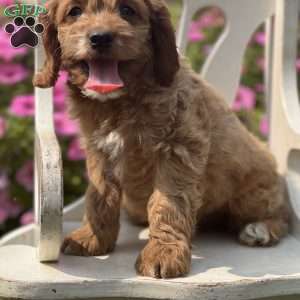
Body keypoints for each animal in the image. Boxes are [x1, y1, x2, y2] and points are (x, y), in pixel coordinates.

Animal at [33, 0, 288, 278]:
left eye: (127, 10)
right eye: (75, 12)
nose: (100, 38)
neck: (119, 101)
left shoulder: (179, 148)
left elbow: (167, 202)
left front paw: (162, 254)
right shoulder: (99, 149)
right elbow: (99, 195)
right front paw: (91, 237)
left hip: (253, 193)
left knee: (280, 215)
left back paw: (260, 229)